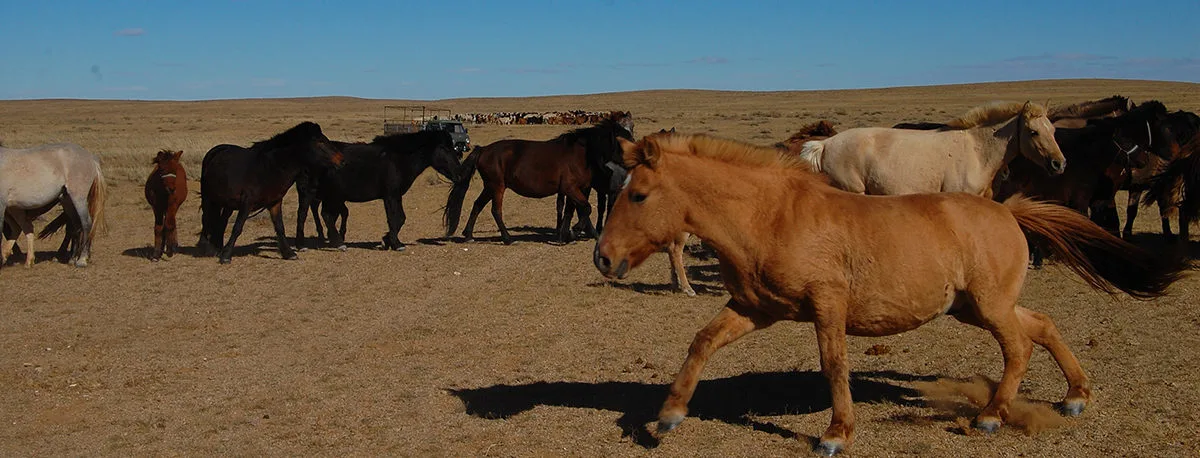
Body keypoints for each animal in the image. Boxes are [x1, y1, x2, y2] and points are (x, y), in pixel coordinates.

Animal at [197, 121, 343, 264]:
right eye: (320, 142)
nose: (341, 161)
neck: (268, 168)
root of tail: (216, 150)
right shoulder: (247, 203)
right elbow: (237, 227)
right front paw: (226, 256)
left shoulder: (275, 203)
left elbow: (280, 228)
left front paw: (289, 253)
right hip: (208, 198)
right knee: (205, 219)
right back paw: (205, 247)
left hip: (228, 204)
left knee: (222, 221)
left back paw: (217, 247)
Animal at [295, 130, 460, 251]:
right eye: (444, 148)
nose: (459, 174)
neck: (398, 159)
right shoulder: (391, 195)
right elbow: (396, 218)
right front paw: (395, 244)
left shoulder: (392, 196)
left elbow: (397, 219)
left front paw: (387, 241)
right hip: (310, 194)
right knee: (304, 215)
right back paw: (304, 245)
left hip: (332, 197)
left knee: (327, 215)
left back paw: (336, 241)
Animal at [443, 118, 631, 245]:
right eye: (624, 140)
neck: (582, 155)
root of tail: (483, 150)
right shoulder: (570, 188)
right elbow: (585, 209)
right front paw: (574, 231)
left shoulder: (576, 190)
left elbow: (574, 211)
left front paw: (567, 235)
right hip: (497, 187)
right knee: (495, 210)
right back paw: (507, 238)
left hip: (490, 186)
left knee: (477, 205)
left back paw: (469, 235)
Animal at [593, 132, 1189, 455]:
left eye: (639, 195)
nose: (602, 257)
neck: (771, 217)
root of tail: (1007, 209)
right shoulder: (753, 309)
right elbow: (701, 343)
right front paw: (668, 416)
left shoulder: (827, 306)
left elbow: (834, 365)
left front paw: (837, 434)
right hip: (974, 307)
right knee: (1041, 325)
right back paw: (1075, 396)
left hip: (989, 307)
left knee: (1019, 347)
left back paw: (993, 415)